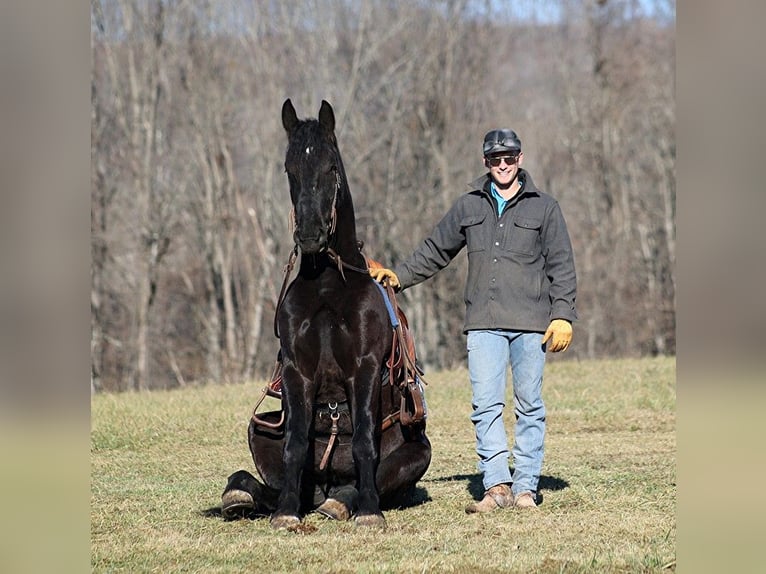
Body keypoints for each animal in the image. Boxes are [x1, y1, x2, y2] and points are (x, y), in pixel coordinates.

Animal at [222, 99, 432, 532]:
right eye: (290, 168)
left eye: (331, 167)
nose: (310, 234)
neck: (327, 286)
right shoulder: (296, 370)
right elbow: (295, 444)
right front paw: (286, 512)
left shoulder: (364, 367)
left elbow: (366, 442)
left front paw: (369, 512)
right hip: (259, 432)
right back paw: (242, 493)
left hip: (419, 452)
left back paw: (344, 500)